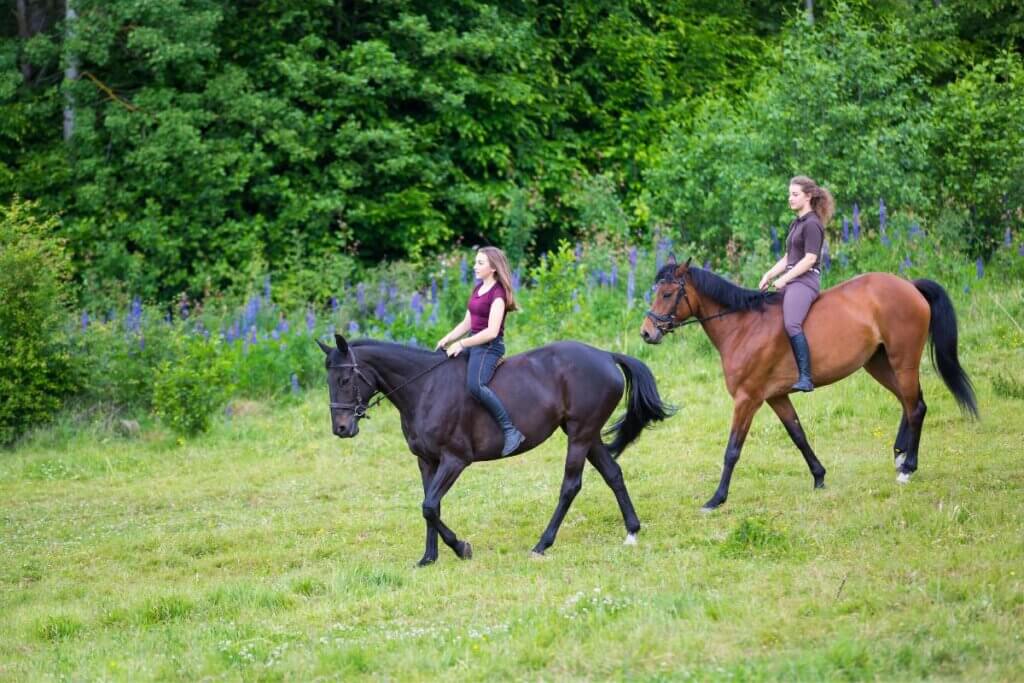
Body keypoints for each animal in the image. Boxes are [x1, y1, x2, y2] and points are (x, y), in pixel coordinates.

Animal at [319, 333, 671, 565]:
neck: (425, 389)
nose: (341, 429)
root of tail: (605, 355)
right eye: (329, 381)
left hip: (580, 436)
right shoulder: (427, 461)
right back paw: (632, 531)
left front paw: (461, 548)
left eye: (346, 379)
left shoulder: (454, 460)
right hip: (589, 434)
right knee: (613, 473)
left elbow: (429, 506)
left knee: (570, 486)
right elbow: (430, 506)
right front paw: (429, 557)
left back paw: (542, 544)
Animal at [638, 259, 974, 509]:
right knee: (909, 401)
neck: (743, 325)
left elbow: (732, 449)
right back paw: (899, 454)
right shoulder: (775, 397)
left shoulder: (747, 398)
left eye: (667, 294)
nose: (646, 333)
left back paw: (908, 467)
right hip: (878, 364)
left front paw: (716, 499)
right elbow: (798, 434)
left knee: (916, 407)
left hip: (902, 361)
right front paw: (819, 477)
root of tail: (910, 285)